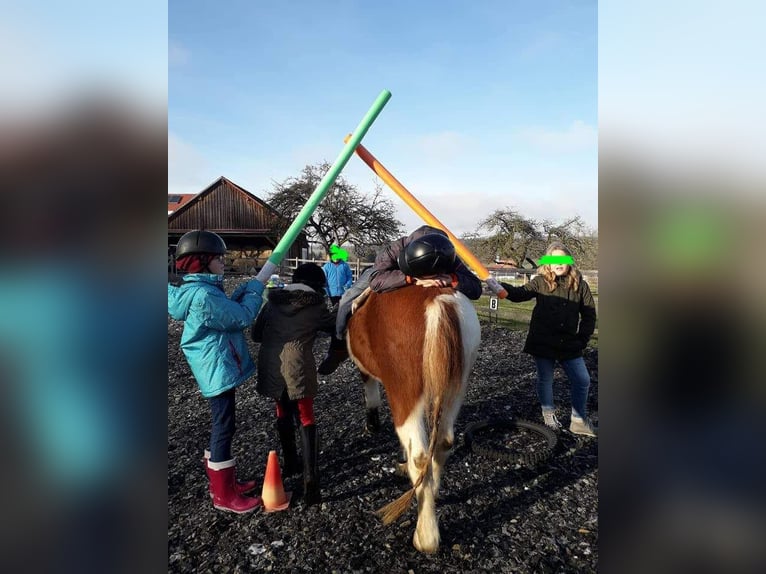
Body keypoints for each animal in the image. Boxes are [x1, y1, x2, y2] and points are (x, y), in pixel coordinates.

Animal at [348, 286, 480, 556]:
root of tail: (438, 301)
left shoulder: (367, 372)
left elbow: (370, 394)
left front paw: (372, 425)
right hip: (455, 388)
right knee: (444, 442)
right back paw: (435, 491)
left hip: (406, 394)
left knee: (420, 456)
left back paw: (425, 536)